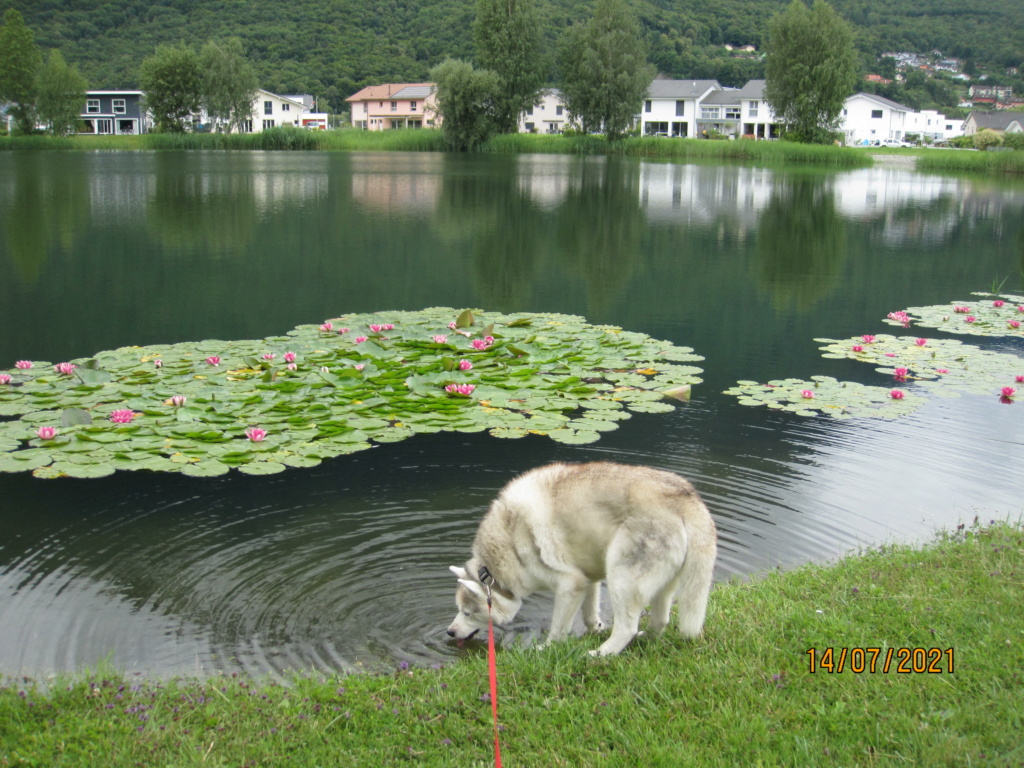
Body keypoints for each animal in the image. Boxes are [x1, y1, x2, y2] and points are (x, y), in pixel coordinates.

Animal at [444, 460, 716, 659]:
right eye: (458, 610)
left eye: (467, 612)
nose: (449, 631)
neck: (509, 540)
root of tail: (685, 496)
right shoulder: (588, 578)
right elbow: (589, 614)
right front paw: (596, 629)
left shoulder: (570, 584)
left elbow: (558, 629)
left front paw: (546, 648)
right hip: (661, 585)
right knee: (660, 620)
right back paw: (644, 639)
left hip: (622, 578)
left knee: (626, 628)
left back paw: (600, 654)